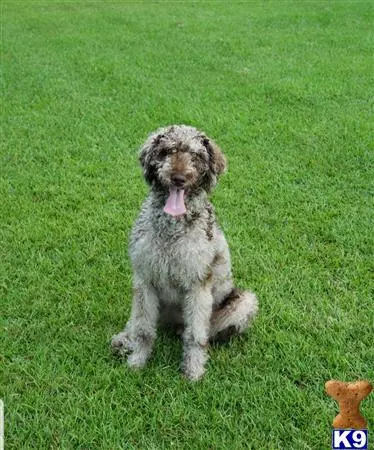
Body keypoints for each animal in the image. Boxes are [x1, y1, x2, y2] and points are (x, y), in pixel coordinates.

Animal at [111, 124, 258, 380]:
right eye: (167, 151)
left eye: (196, 155)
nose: (179, 178)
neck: (172, 229)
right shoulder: (144, 280)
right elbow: (143, 329)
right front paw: (137, 361)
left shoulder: (198, 284)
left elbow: (195, 335)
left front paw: (193, 370)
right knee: (136, 323)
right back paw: (124, 340)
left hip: (244, 301)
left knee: (204, 332)